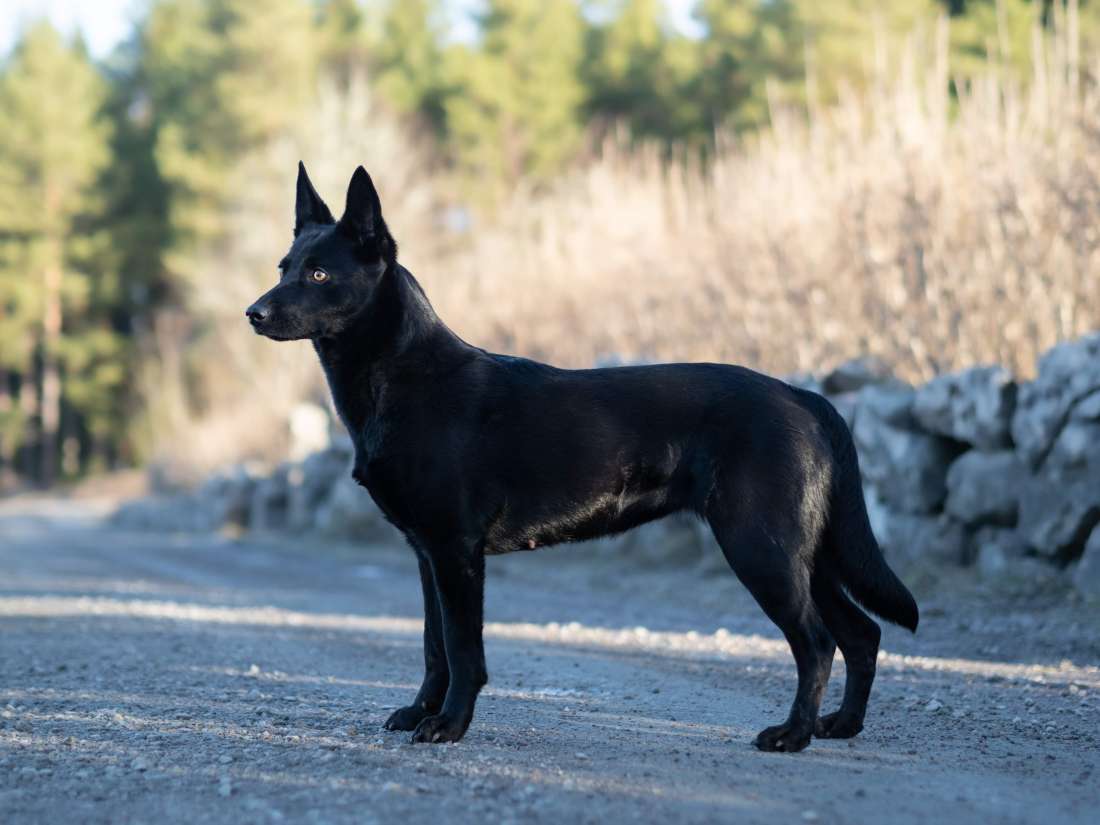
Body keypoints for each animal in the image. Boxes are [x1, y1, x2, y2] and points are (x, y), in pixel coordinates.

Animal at [249, 165, 919, 752]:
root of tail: (802, 395)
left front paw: (449, 726)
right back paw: (841, 727)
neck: (404, 376)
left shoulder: (456, 554)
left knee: (817, 643)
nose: (252, 313)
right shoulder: (425, 554)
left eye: (318, 274)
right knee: (861, 634)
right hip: (808, 555)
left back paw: (793, 735)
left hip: (762, 549)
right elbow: (432, 646)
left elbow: (463, 652)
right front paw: (420, 712)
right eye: (284, 267)